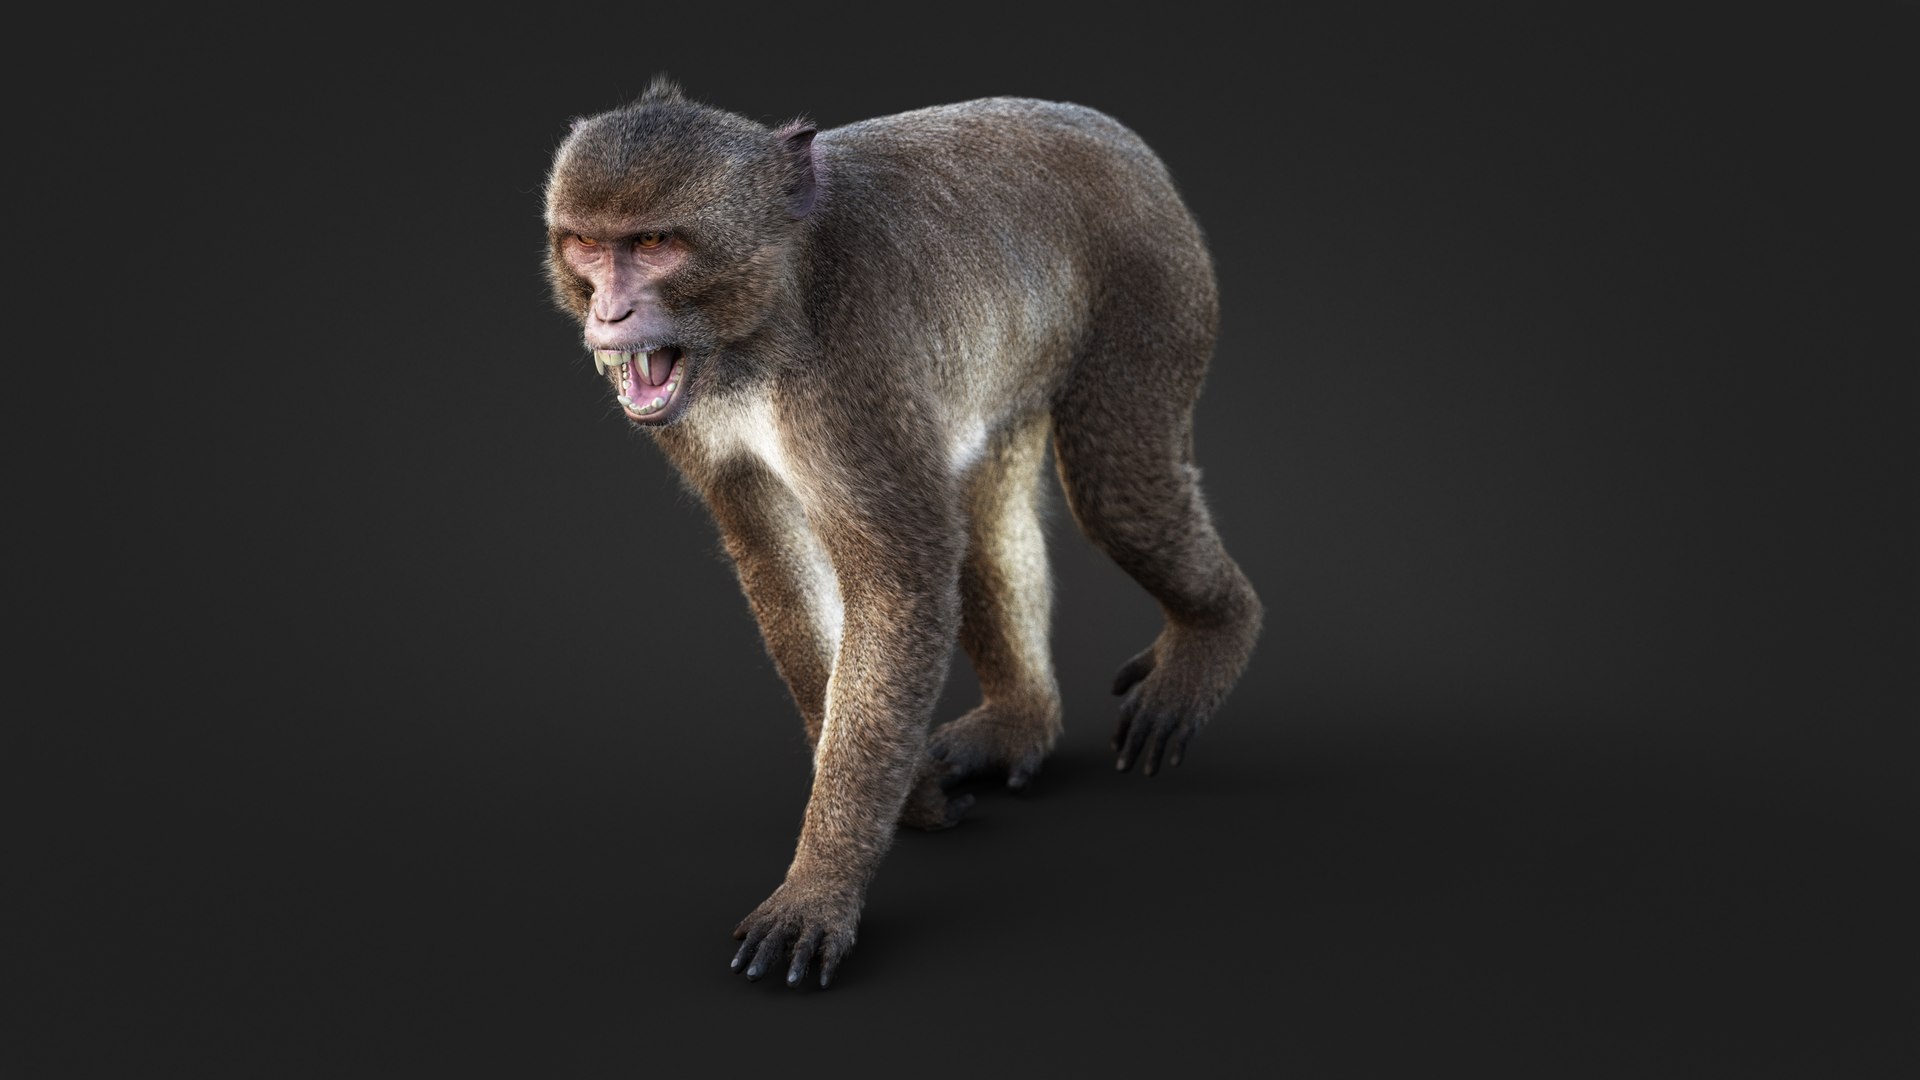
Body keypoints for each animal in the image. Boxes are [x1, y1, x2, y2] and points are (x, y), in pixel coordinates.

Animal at [542, 78, 1262, 988]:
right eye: (587, 247)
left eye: (655, 243)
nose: (610, 312)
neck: (776, 308)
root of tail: (1121, 138)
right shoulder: (702, 423)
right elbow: (781, 565)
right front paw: (910, 793)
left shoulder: (854, 373)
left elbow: (903, 579)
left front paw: (819, 885)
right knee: (984, 512)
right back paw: (1022, 722)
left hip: (1156, 284)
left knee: (1118, 490)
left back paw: (1215, 633)